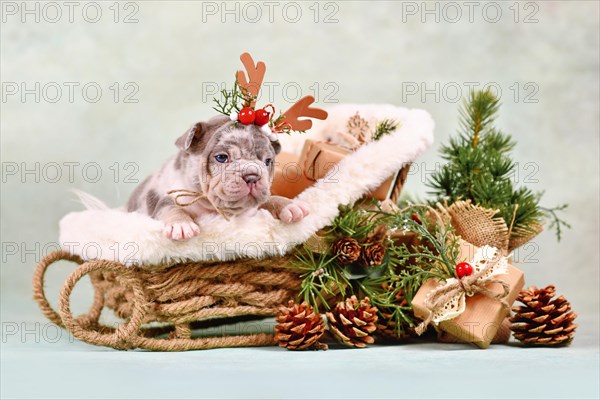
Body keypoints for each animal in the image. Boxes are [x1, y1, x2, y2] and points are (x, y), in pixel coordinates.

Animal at [124, 115, 308, 241]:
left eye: (267, 161)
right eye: (221, 157)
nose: (253, 175)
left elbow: (268, 200)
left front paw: (288, 205)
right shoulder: (166, 198)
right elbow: (171, 208)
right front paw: (181, 224)